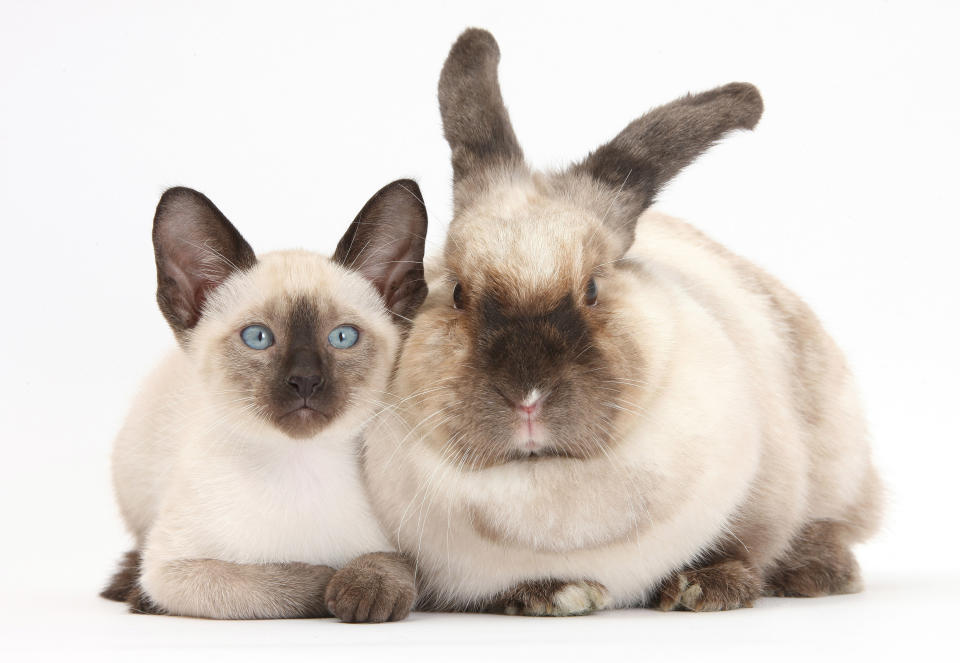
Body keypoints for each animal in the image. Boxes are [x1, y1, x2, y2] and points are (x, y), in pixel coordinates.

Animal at [101, 178, 428, 624]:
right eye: (258, 337)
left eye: (342, 337)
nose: (305, 380)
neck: (298, 465)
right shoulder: (173, 571)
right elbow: (273, 582)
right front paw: (328, 580)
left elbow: (396, 564)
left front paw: (368, 589)